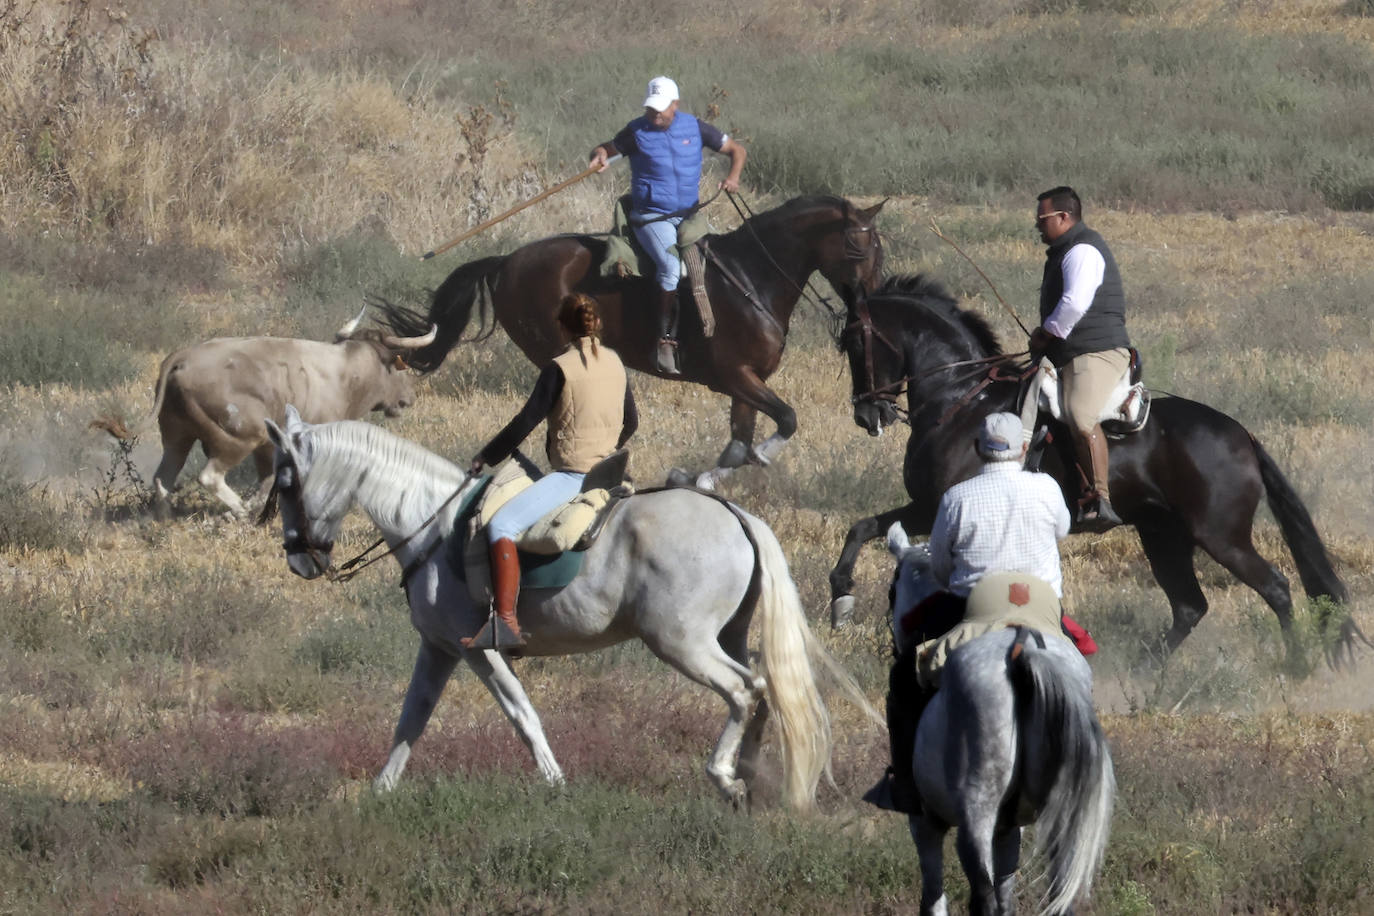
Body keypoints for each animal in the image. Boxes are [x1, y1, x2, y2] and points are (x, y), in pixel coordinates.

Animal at [265, 409, 868, 807]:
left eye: (287, 480)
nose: (299, 559)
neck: (433, 524)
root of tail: (734, 514)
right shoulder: (437, 648)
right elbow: (411, 718)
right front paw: (380, 791)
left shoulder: (478, 651)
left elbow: (520, 713)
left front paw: (554, 782)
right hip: (728, 636)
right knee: (763, 691)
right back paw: (751, 778)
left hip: (683, 643)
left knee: (744, 691)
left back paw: (724, 775)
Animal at [376, 195, 890, 486]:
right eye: (859, 245)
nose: (869, 300)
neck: (751, 278)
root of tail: (505, 262)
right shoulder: (733, 376)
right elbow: (784, 419)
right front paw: (759, 457)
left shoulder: (746, 383)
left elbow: (738, 443)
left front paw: (698, 478)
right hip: (558, 357)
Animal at [829, 271, 1346, 659]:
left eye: (854, 340)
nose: (866, 414)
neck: (961, 401)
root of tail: (1242, 434)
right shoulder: (927, 508)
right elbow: (862, 527)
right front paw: (841, 599)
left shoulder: (939, 508)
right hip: (1163, 535)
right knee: (1189, 606)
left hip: (1221, 537)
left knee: (1275, 588)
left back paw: (1295, 668)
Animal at [890, 521, 1115, 916]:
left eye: (893, 586)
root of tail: (1020, 648)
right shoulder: (1009, 829)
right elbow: (1007, 888)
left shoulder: (926, 823)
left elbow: (934, 896)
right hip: (1061, 810)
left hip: (976, 813)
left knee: (982, 894)